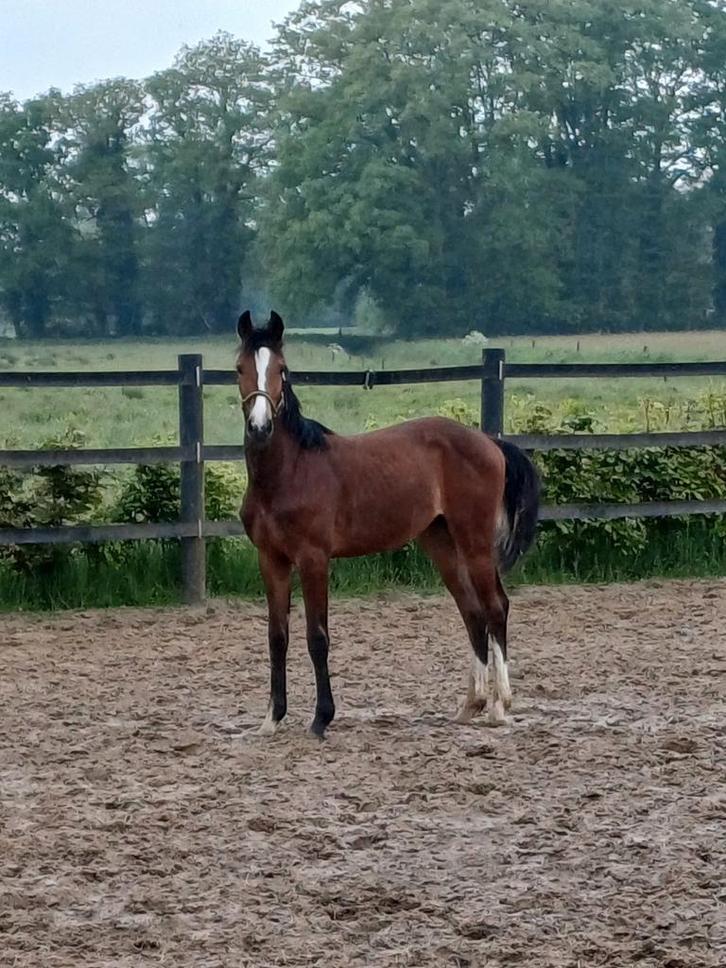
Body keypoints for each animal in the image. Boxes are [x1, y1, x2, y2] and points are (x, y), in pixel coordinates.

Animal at [236, 310, 540, 738]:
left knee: (495, 607)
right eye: (240, 368)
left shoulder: (314, 559)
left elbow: (317, 636)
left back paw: (499, 706)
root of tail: (490, 443)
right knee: (472, 611)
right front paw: (271, 719)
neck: (290, 471)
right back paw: (471, 705)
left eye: (281, 369)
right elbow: (277, 637)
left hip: (475, 541)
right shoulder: (271, 560)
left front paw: (321, 718)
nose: (260, 427)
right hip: (442, 543)